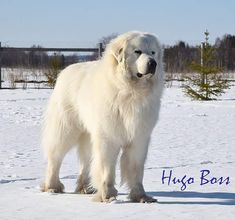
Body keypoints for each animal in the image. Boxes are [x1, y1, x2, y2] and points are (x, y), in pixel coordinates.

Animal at [41, 31, 164, 203]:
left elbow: (136, 168)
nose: (153, 63)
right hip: (66, 129)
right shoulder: (108, 136)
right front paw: (108, 195)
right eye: (137, 51)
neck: (130, 91)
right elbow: (106, 167)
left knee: (86, 161)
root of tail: (65, 71)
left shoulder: (139, 137)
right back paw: (52, 187)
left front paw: (141, 196)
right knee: (55, 157)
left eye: (153, 52)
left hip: (87, 135)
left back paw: (84, 188)